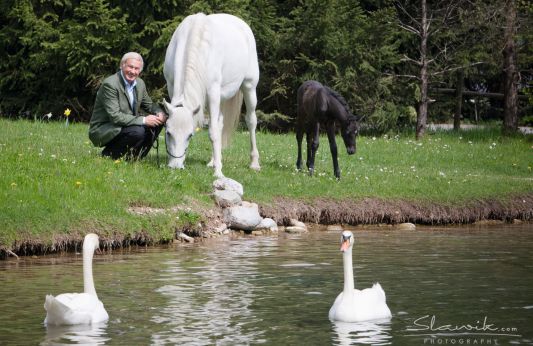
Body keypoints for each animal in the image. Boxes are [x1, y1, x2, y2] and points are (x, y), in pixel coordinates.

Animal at [163, 12, 260, 177]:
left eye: (190, 135)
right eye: (168, 133)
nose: (175, 166)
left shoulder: (213, 93)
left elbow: (212, 132)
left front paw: (218, 172)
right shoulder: (171, 86)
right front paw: (216, 164)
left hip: (249, 87)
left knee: (251, 121)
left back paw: (254, 163)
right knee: (220, 123)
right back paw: (213, 161)